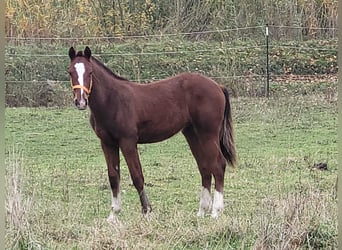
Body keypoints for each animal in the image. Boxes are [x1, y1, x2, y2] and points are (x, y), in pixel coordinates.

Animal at [68, 46, 236, 219]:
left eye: (90, 72)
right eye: (70, 72)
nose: (81, 101)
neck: (112, 100)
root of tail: (218, 86)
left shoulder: (128, 141)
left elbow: (137, 176)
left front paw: (147, 211)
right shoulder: (107, 143)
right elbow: (113, 177)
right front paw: (113, 215)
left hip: (208, 134)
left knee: (218, 165)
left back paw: (215, 212)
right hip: (193, 134)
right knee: (204, 167)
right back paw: (202, 211)